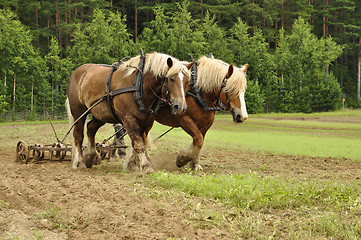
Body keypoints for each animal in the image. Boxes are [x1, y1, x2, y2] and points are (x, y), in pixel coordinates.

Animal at [65, 52, 193, 173]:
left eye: (187, 82)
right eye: (171, 79)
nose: (180, 106)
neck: (139, 84)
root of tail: (77, 72)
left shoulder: (147, 121)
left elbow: (141, 142)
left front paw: (134, 164)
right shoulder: (128, 119)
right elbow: (138, 144)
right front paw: (145, 166)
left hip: (101, 114)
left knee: (91, 128)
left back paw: (91, 156)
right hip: (78, 111)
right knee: (78, 135)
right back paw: (80, 162)